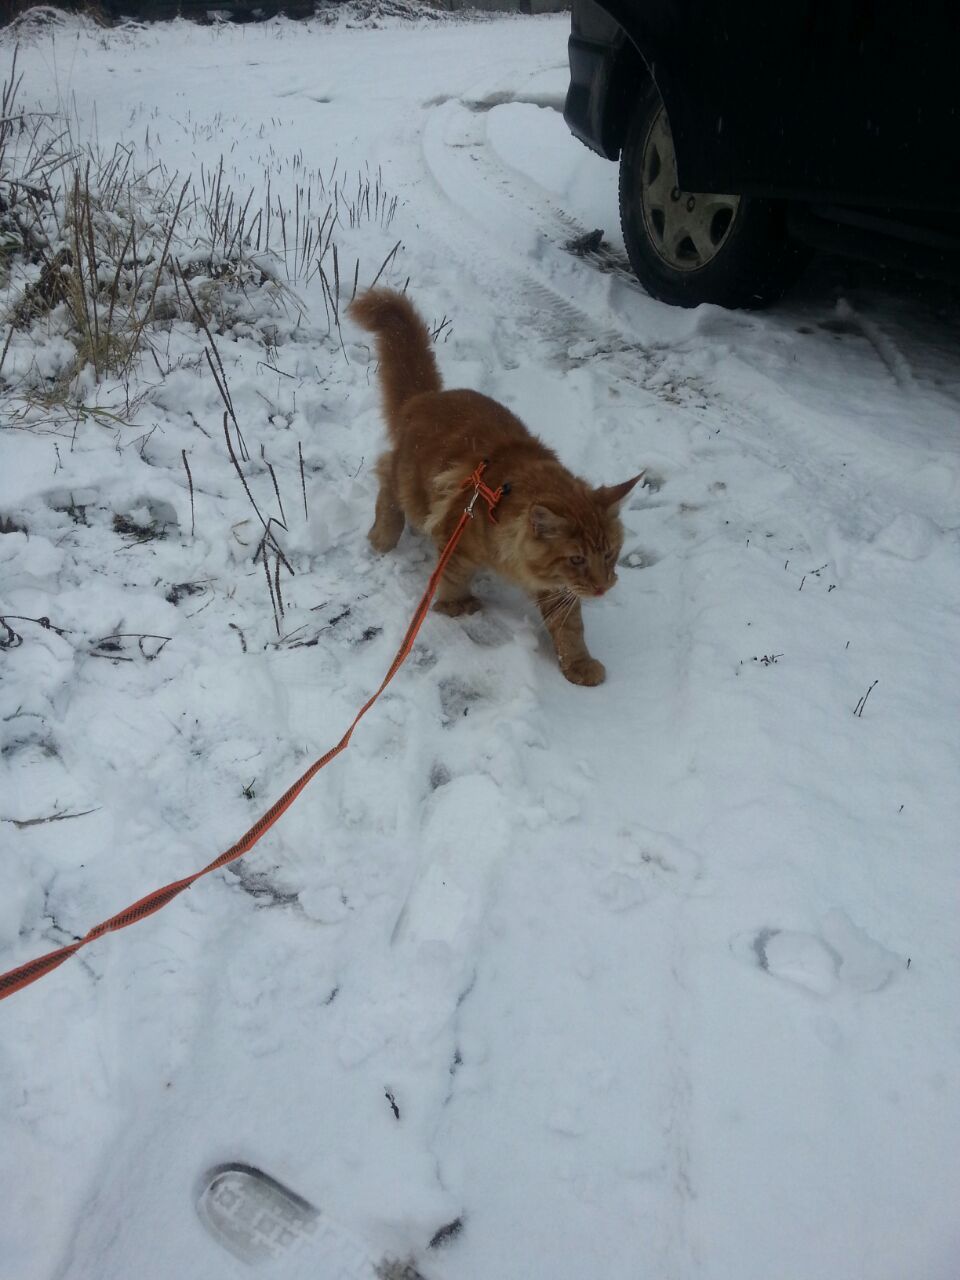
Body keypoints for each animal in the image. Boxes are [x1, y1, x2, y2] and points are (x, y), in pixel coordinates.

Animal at [350, 290, 642, 686]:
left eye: (610, 554)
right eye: (577, 559)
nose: (602, 586)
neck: (500, 500)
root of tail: (426, 398)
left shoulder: (555, 586)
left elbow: (570, 628)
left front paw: (579, 664)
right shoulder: (456, 540)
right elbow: (453, 577)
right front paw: (456, 606)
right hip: (410, 488)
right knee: (386, 486)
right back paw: (382, 537)